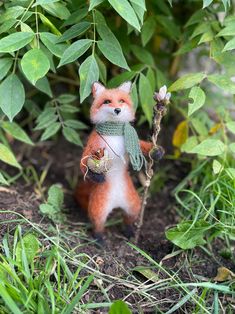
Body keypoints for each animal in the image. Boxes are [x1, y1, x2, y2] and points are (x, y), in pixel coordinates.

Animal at [75, 81, 163, 243]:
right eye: (107, 101)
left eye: (121, 101)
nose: (117, 109)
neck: (114, 133)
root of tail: (116, 203)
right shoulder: (93, 144)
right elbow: (83, 164)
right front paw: (96, 176)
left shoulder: (134, 143)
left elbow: (143, 147)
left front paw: (156, 152)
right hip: (99, 210)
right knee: (98, 225)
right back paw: (100, 240)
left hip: (133, 205)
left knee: (128, 219)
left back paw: (129, 232)